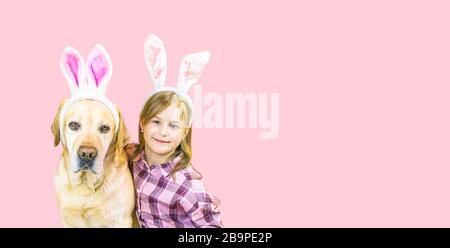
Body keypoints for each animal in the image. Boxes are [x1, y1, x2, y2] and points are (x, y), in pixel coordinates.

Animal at [52, 44, 135, 227]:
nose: (87, 154)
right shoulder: (67, 218)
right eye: (73, 125)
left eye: (105, 128)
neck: (85, 187)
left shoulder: (122, 219)